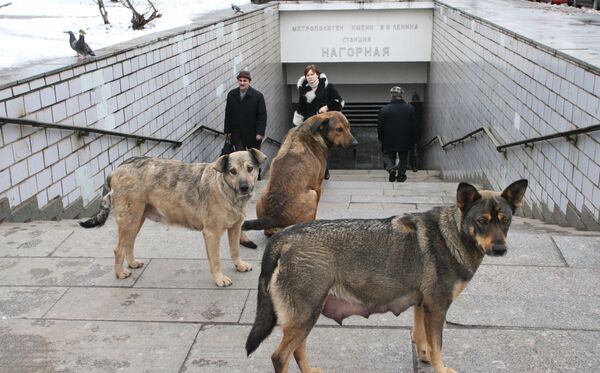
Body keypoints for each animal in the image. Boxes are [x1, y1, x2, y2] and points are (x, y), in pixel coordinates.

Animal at [78, 150, 266, 286]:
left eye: (250, 168)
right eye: (232, 171)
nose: (244, 187)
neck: (225, 189)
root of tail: (117, 168)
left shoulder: (235, 228)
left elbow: (235, 250)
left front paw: (239, 265)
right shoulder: (212, 233)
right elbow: (216, 260)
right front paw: (219, 279)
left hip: (137, 219)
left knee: (129, 244)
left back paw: (131, 263)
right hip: (129, 219)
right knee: (118, 249)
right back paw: (120, 273)